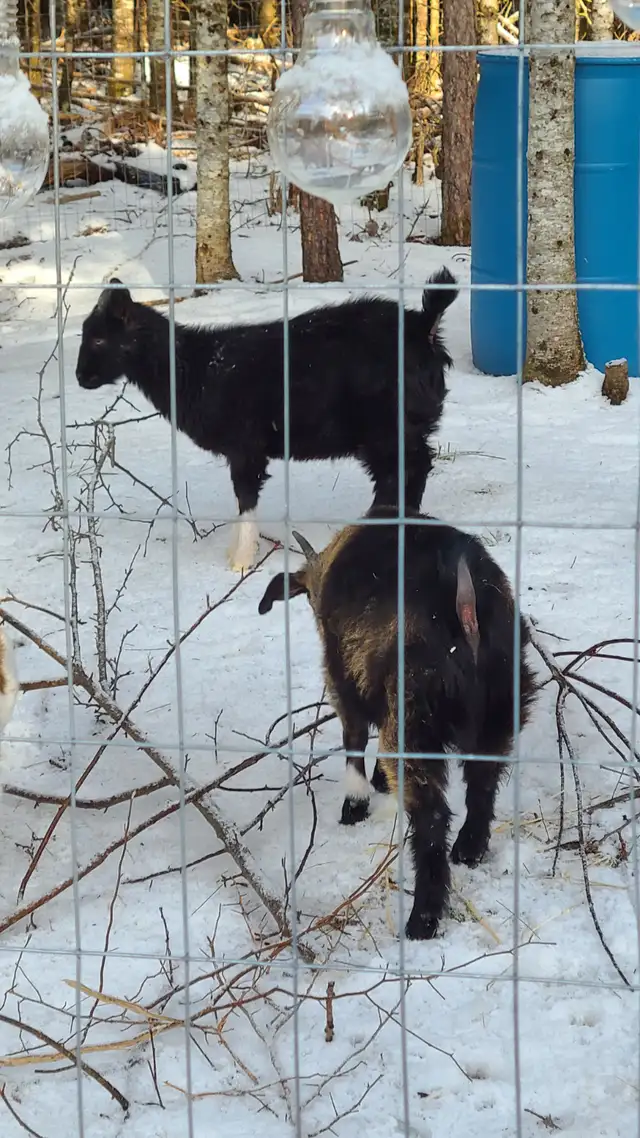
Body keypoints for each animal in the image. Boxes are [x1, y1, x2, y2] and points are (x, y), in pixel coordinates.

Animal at [75, 272, 458, 572]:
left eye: (99, 338)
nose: (80, 377)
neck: (197, 368)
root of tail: (424, 327)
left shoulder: (246, 445)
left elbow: (245, 497)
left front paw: (241, 560)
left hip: (388, 428)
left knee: (407, 471)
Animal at [258, 507, 537, 940]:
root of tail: (466, 610)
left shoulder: (343, 682)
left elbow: (353, 738)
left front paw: (355, 804)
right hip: (501, 707)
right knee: (483, 781)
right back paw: (469, 849)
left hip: (416, 717)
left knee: (431, 817)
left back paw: (423, 918)